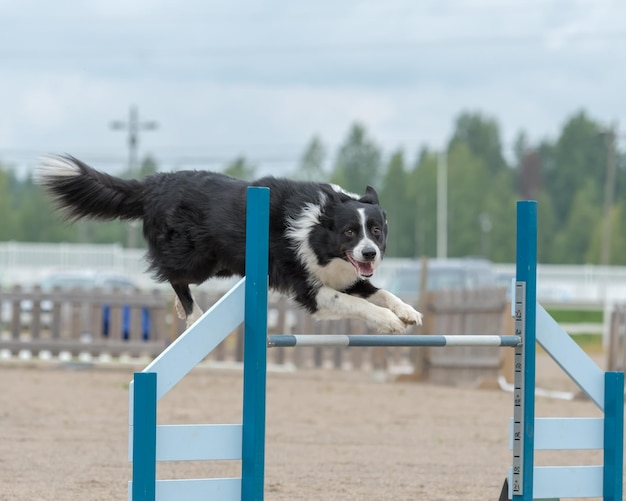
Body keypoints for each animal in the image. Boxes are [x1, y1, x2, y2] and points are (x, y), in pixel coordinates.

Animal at [36, 153, 422, 332]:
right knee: (172, 275)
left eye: (376, 230)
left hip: (221, 263)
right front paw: (388, 321)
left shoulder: (346, 276)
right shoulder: (310, 289)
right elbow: (357, 303)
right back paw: (192, 315)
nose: (370, 253)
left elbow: (380, 292)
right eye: (349, 232)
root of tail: (154, 184)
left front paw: (407, 312)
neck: (317, 229)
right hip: (198, 257)